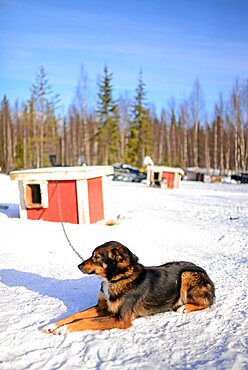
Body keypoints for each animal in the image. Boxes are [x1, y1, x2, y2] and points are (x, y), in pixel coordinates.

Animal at [41, 240, 215, 336]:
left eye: (96, 257)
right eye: (92, 255)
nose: (78, 266)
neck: (117, 278)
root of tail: (208, 275)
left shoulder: (121, 319)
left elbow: (85, 321)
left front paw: (63, 330)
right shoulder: (102, 307)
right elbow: (76, 315)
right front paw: (52, 325)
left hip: (187, 275)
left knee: (207, 302)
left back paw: (184, 307)